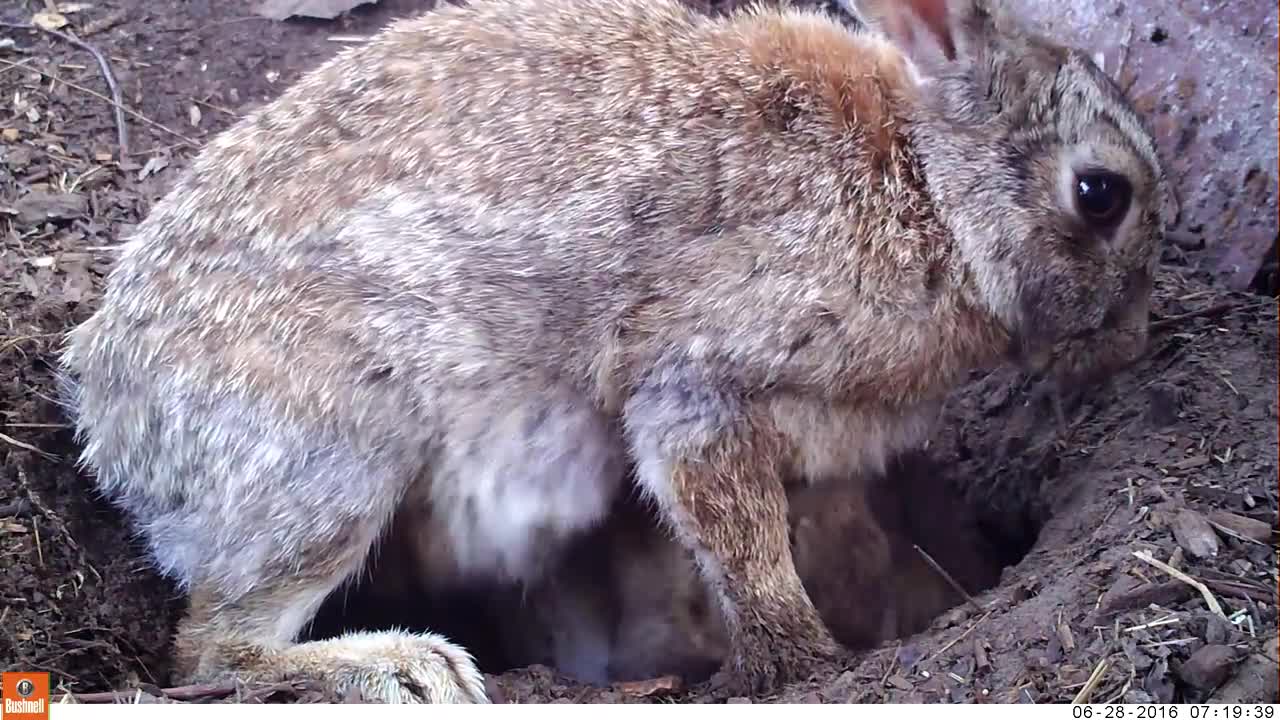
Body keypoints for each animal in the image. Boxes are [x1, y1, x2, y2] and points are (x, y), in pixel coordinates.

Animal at [62, 0, 1172, 702]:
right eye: (1100, 194)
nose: (1130, 342)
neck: (929, 186)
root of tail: (106, 420)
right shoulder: (705, 377)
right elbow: (735, 531)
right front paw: (807, 663)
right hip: (333, 461)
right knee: (211, 647)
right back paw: (406, 667)